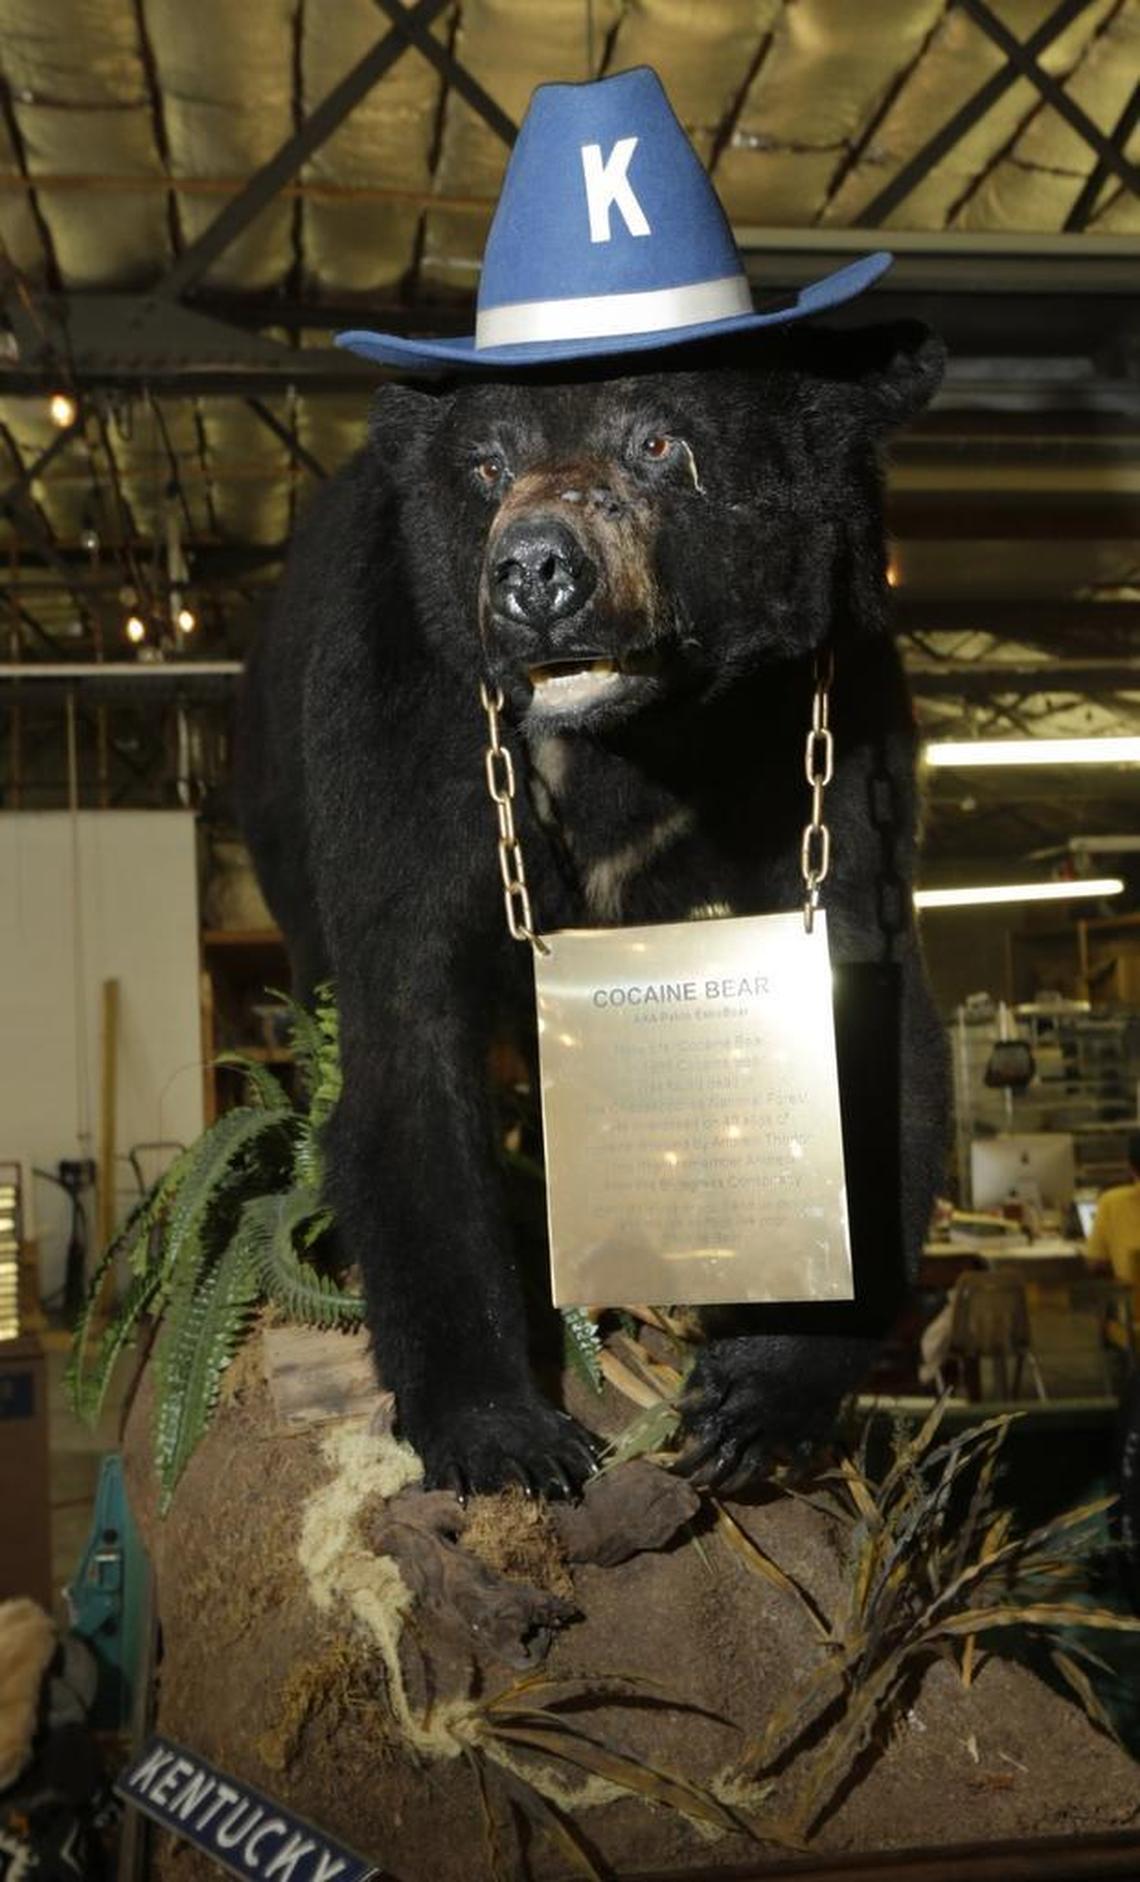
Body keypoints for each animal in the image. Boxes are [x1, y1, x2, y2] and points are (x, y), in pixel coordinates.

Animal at [237, 320, 949, 1499]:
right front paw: (502, 1434)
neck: (632, 732)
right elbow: (407, 1030)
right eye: (487, 466)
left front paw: (758, 1391)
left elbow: (866, 989)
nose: (533, 568)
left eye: (658, 440)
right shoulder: (402, 698)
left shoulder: (831, 702)